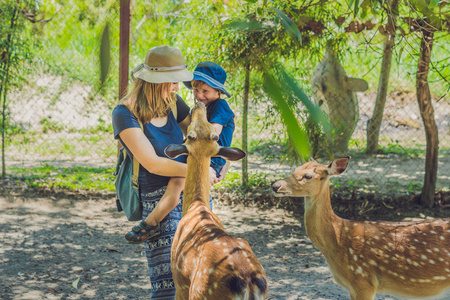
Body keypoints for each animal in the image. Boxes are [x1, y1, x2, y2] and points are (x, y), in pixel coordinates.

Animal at [164, 101, 268, 300]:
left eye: (189, 134)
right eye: (214, 134)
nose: (199, 104)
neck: (196, 205)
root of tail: (246, 281)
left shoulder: (179, 281)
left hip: (200, 291)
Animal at [270, 157, 450, 300]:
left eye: (308, 176)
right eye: (295, 169)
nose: (275, 185)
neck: (337, 240)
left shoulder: (363, 281)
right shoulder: (353, 287)